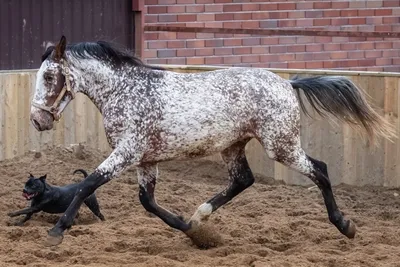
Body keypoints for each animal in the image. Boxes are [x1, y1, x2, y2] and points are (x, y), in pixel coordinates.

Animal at [30, 36, 394, 249]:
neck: (126, 91)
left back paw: (345, 225)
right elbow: (147, 201)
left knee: (320, 169)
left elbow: (87, 183)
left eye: (49, 76)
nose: (37, 121)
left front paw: (58, 230)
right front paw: (192, 230)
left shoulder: (127, 153)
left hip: (281, 145)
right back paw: (200, 215)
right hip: (234, 146)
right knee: (243, 180)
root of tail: (288, 84)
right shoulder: (146, 159)